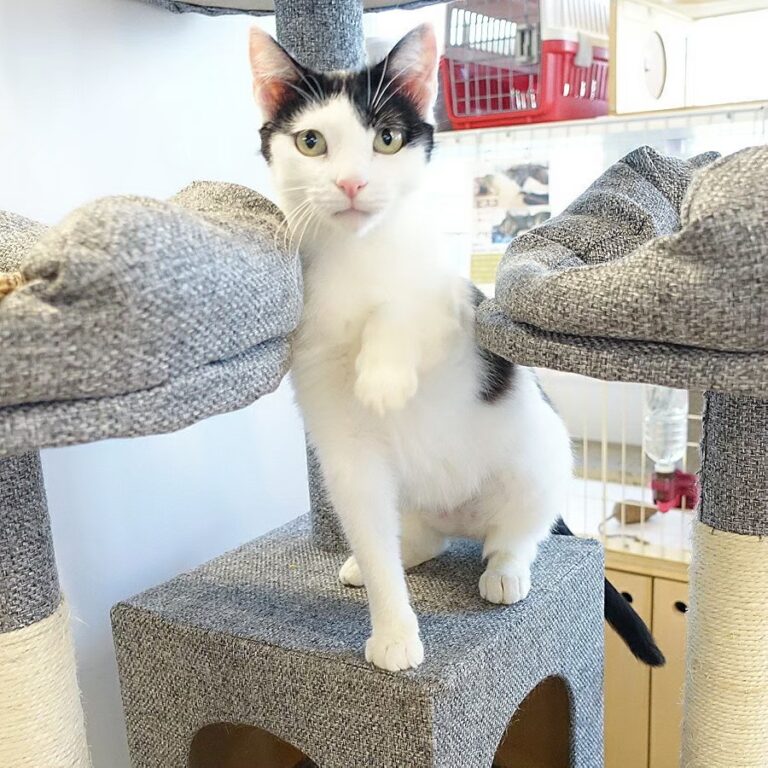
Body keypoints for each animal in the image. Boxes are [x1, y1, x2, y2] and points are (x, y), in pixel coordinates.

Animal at [249, 24, 663, 672]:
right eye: (311, 142)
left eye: (387, 139)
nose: (351, 183)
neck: (354, 257)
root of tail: (460, 519)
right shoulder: (346, 450)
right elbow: (370, 529)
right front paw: (394, 631)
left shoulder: (458, 310)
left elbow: (410, 305)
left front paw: (382, 375)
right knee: (414, 537)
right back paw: (393, 554)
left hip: (540, 456)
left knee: (520, 533)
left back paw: (506, 569)